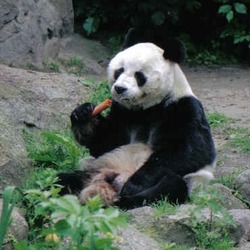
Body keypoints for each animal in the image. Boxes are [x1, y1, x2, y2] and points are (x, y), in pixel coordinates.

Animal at [57, 39, 216, 209]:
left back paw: (125, 199)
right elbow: (105, 143)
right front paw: (84, 114)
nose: (119, 88)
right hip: (97, 169)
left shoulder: (184, 108)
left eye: (139, 75)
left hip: (189, 180)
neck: (148, 107)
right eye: (119, 71)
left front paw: (135, 184)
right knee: (61, 179)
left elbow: (190, 151)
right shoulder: (123, 111)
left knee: (172, 185)